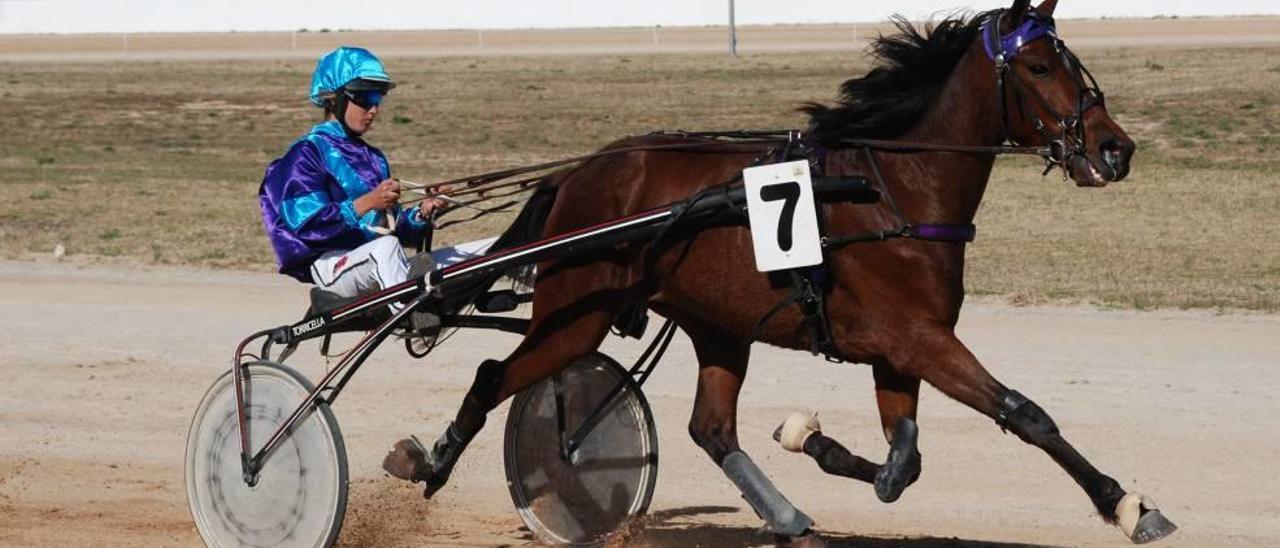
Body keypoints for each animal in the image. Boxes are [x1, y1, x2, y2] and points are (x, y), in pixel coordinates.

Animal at [384, 1, 1172, 542]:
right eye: (1039, 67)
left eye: (1073, 62)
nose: (1116, 149)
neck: (894, 190)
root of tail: (579, 173)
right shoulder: (918, 339)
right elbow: (1024, 414)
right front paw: (1127, 505)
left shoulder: (898, 350)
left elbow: (903, 462)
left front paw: (811, 439)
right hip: (578, 314)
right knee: (494, 374)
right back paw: (429, 463)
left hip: (717, 325)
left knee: (710, 428)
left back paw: (788, 515)